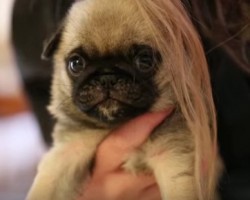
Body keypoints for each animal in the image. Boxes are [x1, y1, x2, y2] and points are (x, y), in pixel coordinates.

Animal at [27, 0, 222, 200]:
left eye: (144, 61)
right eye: (76, 64)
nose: (106, 77)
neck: (119, 123)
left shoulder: (172, 158)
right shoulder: (69, 149)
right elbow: (46, 185)